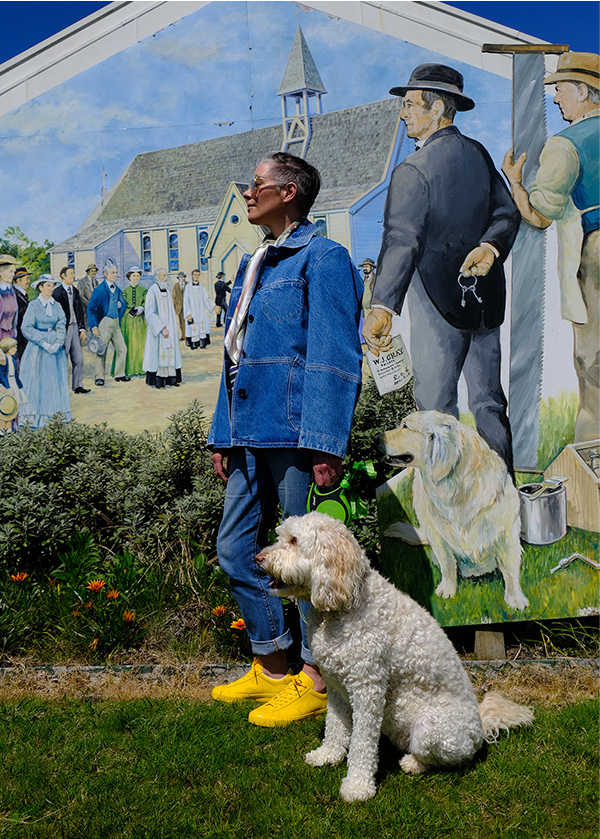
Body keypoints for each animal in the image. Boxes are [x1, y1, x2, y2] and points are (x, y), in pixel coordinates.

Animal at [255, 512, 532, 808]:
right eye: (281, 536)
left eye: (294, 541)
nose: (259, 558)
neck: (346, 602)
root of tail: (481, 728)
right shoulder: (336, 687)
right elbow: (335, 726)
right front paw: (327, 755)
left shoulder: (368, 689)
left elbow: (362, 744)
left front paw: (357, 786)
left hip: (431, 728)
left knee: (446, 760)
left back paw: (413, 764)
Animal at [380, 412, 528, 612]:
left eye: (406, 427)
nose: (375, 438)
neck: (454, 489)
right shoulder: (436, 535)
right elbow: (448, 563)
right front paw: (448, 589)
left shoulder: (506, 531)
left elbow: (510, 569)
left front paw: (515, 599)